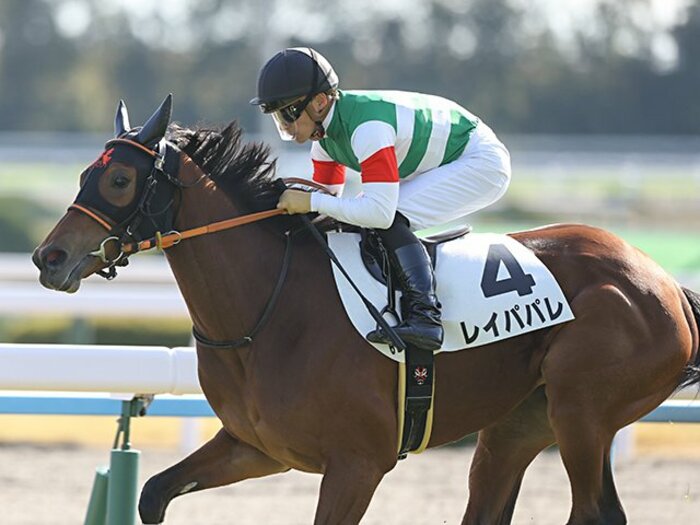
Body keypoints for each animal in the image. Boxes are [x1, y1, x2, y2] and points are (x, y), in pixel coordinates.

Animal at [33, 95, 700, 525]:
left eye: (119, 180)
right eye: (86, 172)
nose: (48, 258)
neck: (268, 313)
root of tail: (663, 280)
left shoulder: (357, 464)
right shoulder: (259, 447)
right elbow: (153, 495)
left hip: (582, 413)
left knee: (596, 512)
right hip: (518, 423)